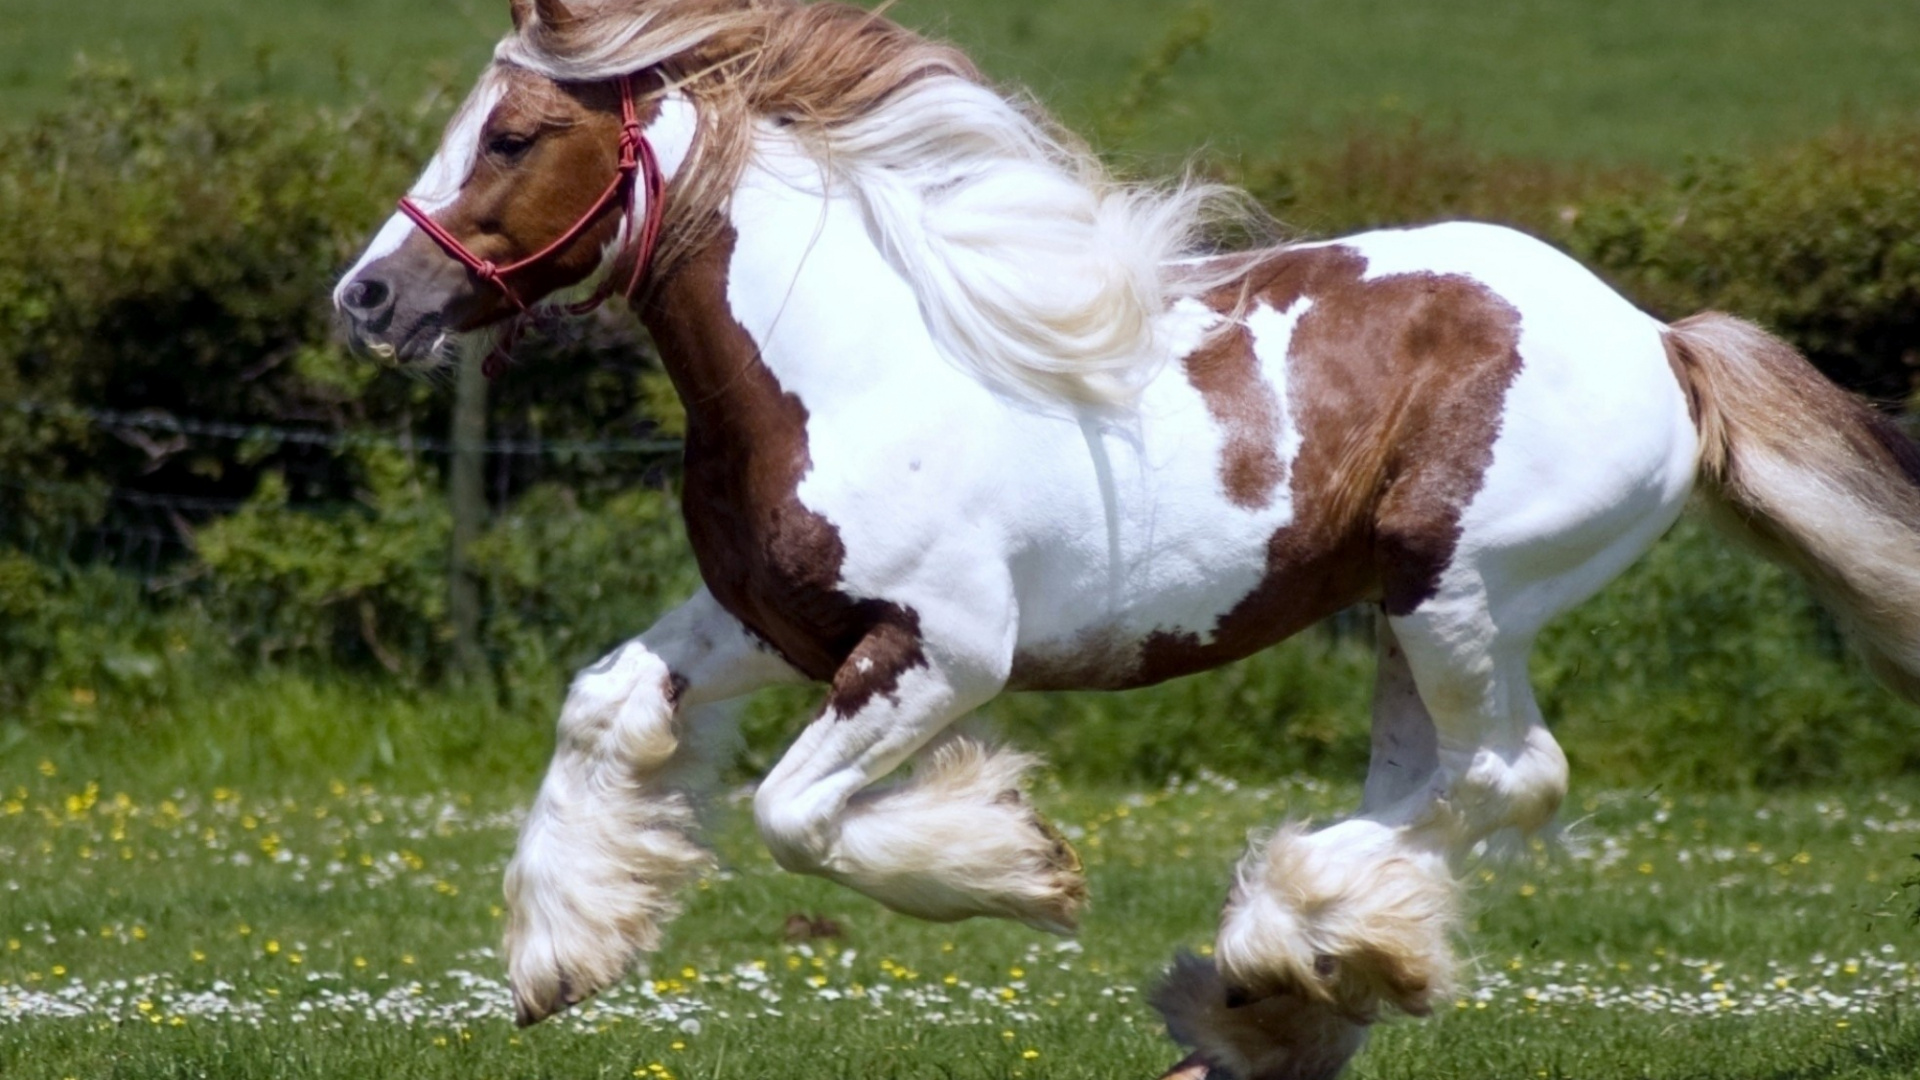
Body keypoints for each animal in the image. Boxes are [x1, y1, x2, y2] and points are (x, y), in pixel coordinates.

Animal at [334, 4, 1920, 1068]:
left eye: (515, 136)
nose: (367, 298)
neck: (852, 363)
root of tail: (1660, 341)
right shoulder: (764, 620)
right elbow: (606, 704)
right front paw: (560, 957)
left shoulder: (943, 654)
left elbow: (794, 816)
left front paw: (1022, 868)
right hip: (1405, 621)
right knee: (1438, 784)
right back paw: (1285, 992)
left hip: (1461, 593)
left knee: (1509, 776)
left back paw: (1270, 953)